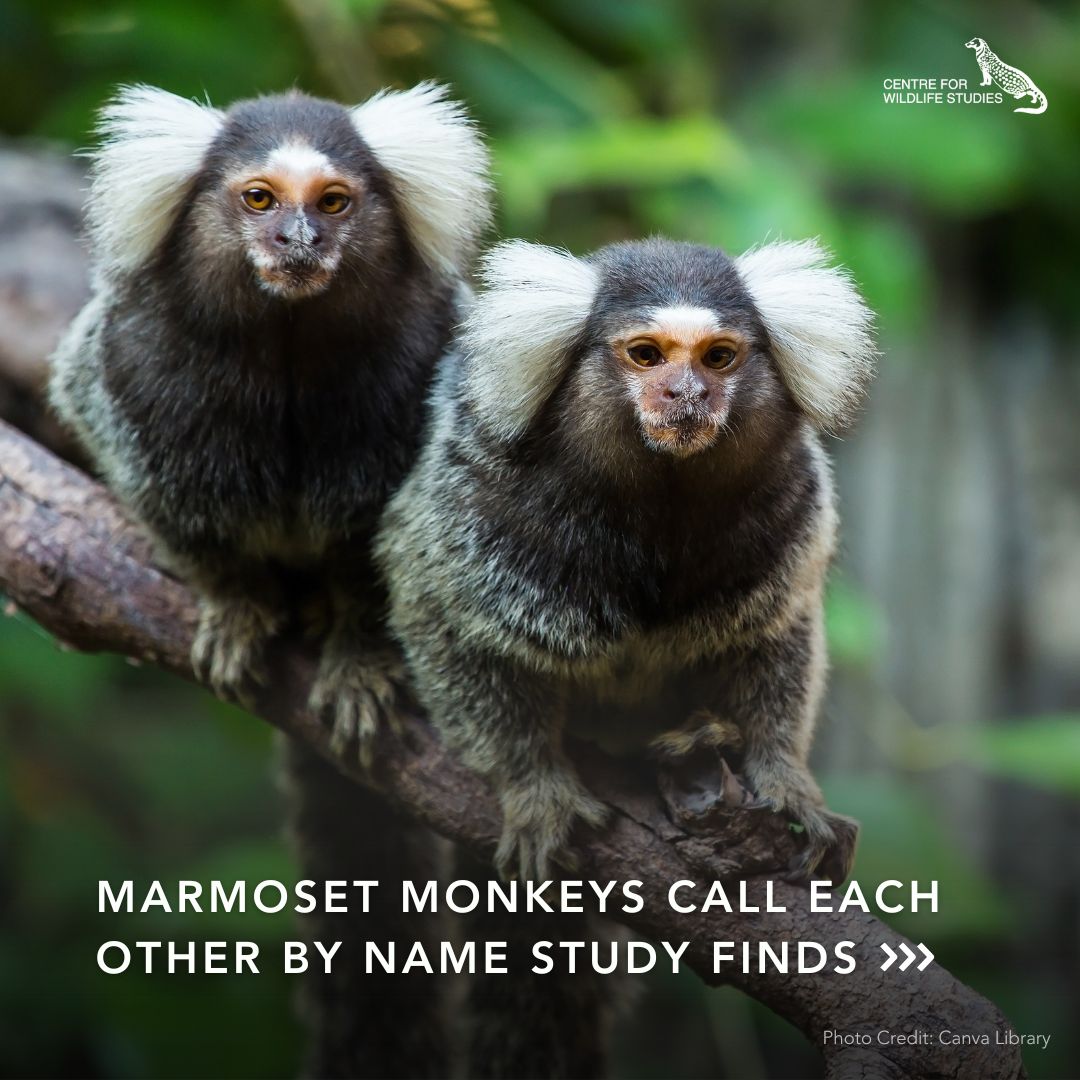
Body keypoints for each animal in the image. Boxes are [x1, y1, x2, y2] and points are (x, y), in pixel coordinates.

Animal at [49, 83, 491, 1077]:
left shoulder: (427, 367)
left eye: (332, 201)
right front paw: (236, 605)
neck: (288, 350)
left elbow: (395, 548)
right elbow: (159, 484)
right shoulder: (134, 364)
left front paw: (360, 656)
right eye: (259, 198)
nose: (296, 239)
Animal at [376, 236, 875, 886]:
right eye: (646, 355)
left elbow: (778, 634)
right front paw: (532, 785)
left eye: (719, 358)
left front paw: (784, 778)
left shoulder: (792, 506)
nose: (687, 394)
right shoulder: (472, 496)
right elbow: (445, 620)